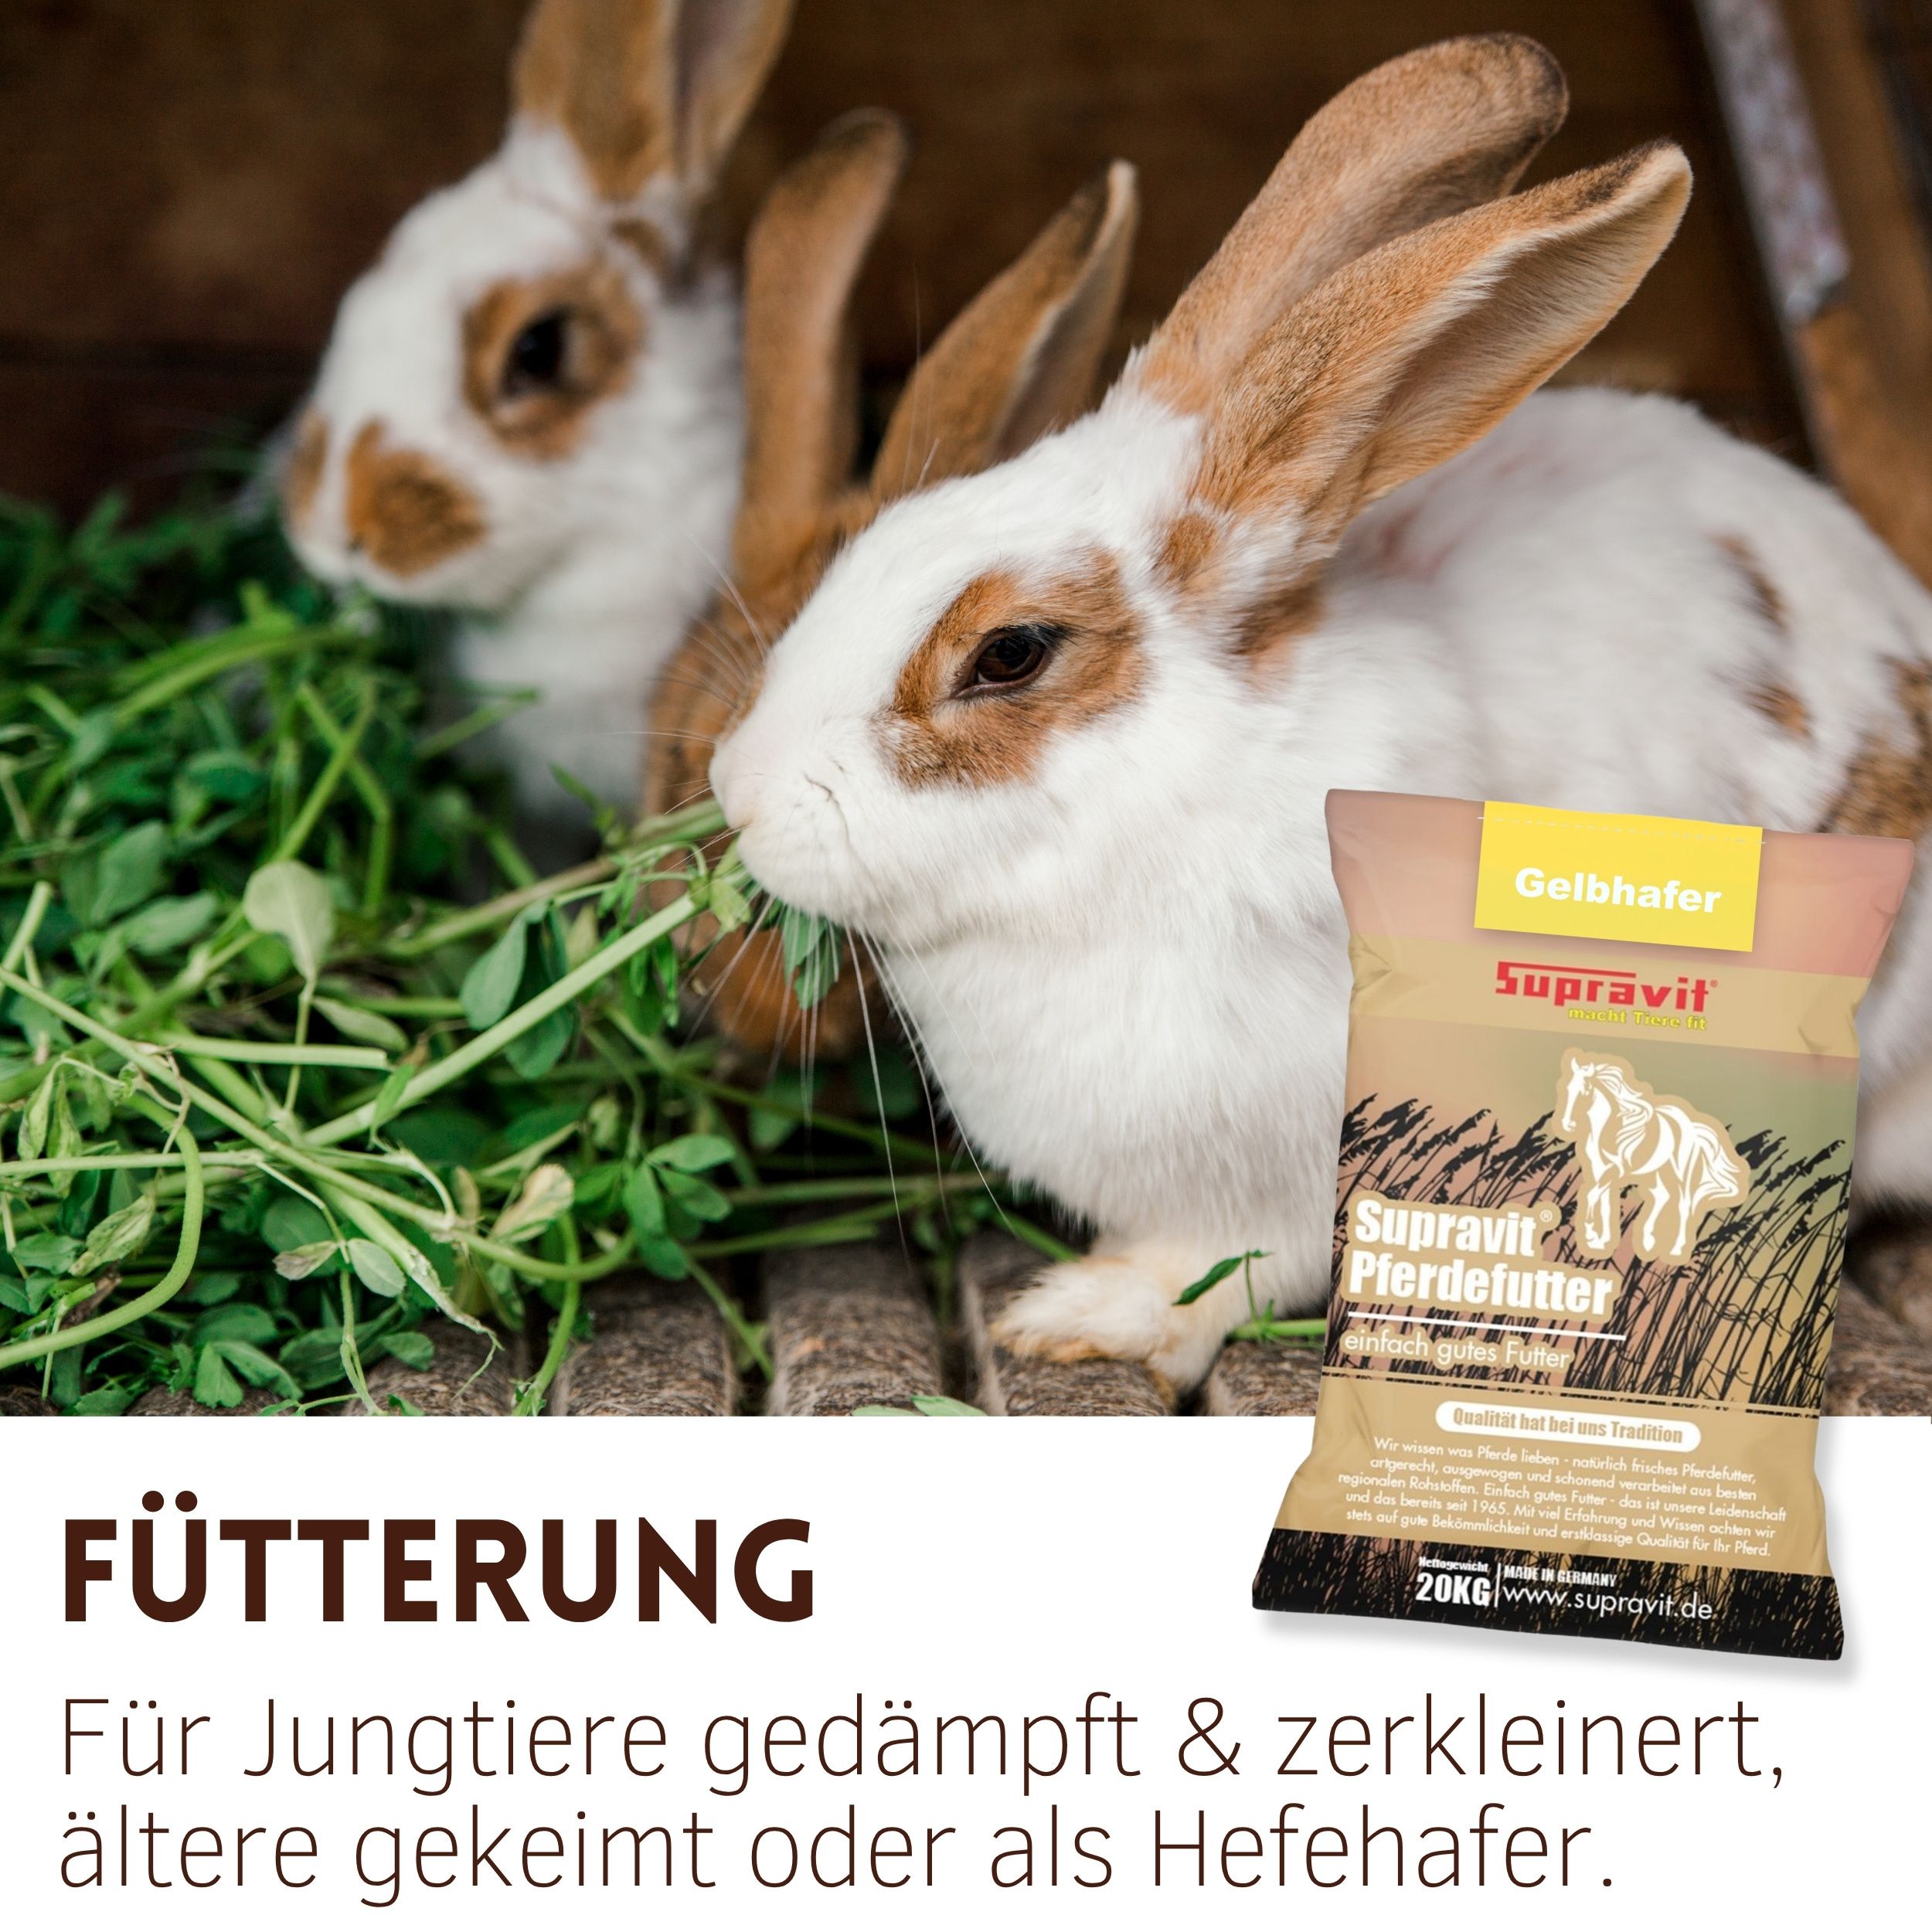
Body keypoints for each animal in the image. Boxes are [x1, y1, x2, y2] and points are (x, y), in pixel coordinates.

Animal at [1555, 1052, 1750, 1261]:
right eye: (1567, 1088)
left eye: (1585, 1091)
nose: (1567, 1125)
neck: (1610, 1127)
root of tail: (1695, 1129)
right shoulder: (1599, 1169)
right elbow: (1605, 1202)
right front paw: (1600, 1242)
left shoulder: (1614, 1171)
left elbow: (1592, 1195)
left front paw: (1591, 1235)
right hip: (1658, 1173)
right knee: (1661, 1196)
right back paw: (1648, 1244)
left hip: (1681, 1178)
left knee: (1684, 1206)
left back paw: (1675, 1250)